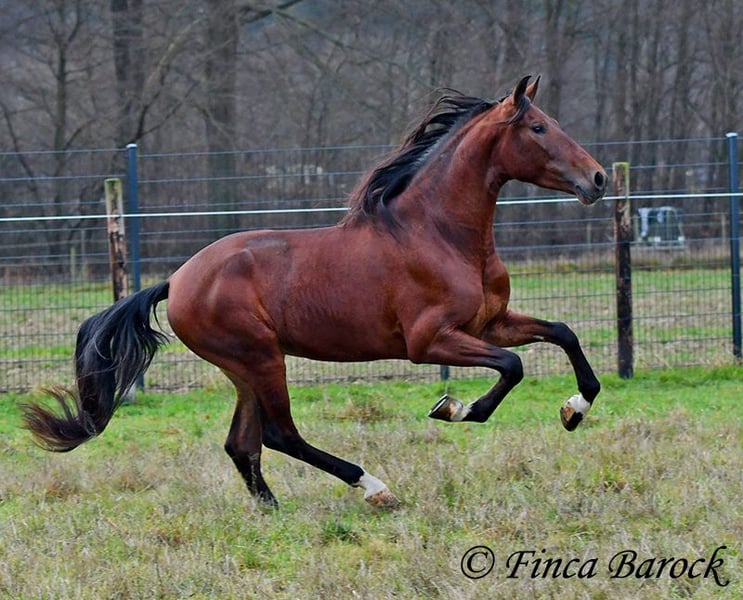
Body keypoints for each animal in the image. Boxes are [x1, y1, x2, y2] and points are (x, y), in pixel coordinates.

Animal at [21, 76, 606, 509]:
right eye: (538, 127)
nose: (598, 179)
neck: (438, 233)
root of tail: (178, 279)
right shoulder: (430, 342)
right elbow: (512, 366)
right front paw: (453, 408)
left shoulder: (491, 322)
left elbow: (563, 334)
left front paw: (574, 409)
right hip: (261, 359)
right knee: (279, 436)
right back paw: (375, 488)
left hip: (245, 368)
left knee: (242, 443)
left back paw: (271, 510)